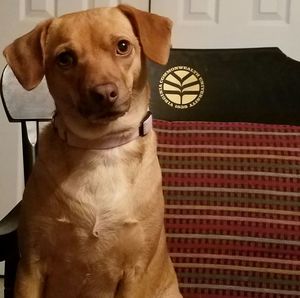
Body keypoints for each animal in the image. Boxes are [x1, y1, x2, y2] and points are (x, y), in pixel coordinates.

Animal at [3, 4, 182, 298]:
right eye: (65, 58)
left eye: (123, 46)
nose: (104, 93)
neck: (100, 147)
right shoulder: (30, 265)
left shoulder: (136, 273)